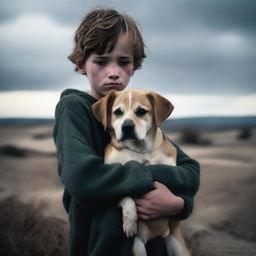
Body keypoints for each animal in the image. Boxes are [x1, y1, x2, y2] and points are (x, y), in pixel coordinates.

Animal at [92, 90, 190, 256]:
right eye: (117, 112)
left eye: (141, 111)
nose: (127, 126)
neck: (140, 150)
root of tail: (158, 234)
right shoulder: (110, 179)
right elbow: (124, 193)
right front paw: (130, 220)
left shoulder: (169, 165)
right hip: (137, 246)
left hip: (178, 246)